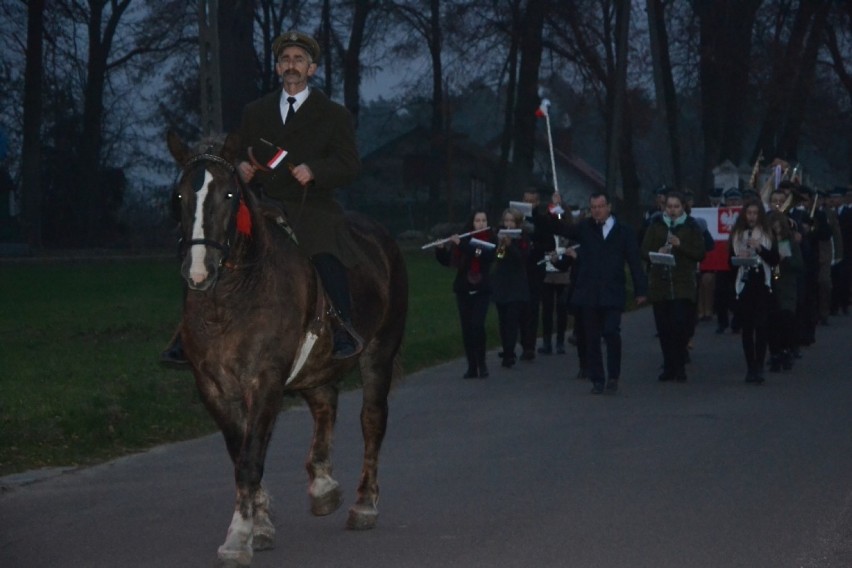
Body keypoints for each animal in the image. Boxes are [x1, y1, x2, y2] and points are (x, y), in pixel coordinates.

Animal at [167, 131, 410, 564]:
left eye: (229, 194)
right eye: (179, 196)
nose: (198, 272)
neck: (229, 299)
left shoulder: (266, 382)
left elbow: (250, 459)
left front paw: (238, 537)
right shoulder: (213, 388)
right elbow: (242, 454)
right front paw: (260, 525)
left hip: (379, 352)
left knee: (372, 420)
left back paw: (364, 505)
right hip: (315, 367)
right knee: (325, 404)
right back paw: (324, 486)